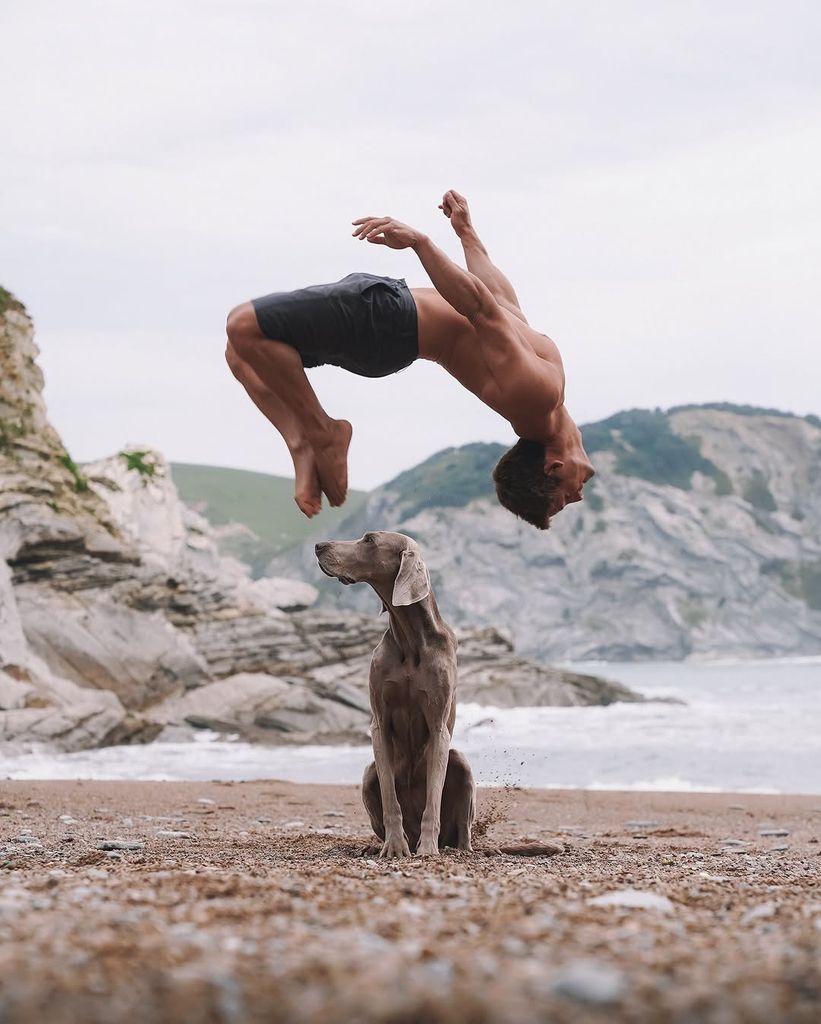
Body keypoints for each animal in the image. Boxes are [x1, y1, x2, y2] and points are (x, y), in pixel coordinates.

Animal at [317, 528, 477, 856]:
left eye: (369, 540)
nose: (318, 546)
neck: (409, 638)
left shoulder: (439, 727)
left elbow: (433, 798)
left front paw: (428, 848)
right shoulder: (379, 723)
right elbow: (391, 796)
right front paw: (394, 846)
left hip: (460, 761)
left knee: (462, 826)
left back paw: (455, 848)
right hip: (368, 774)